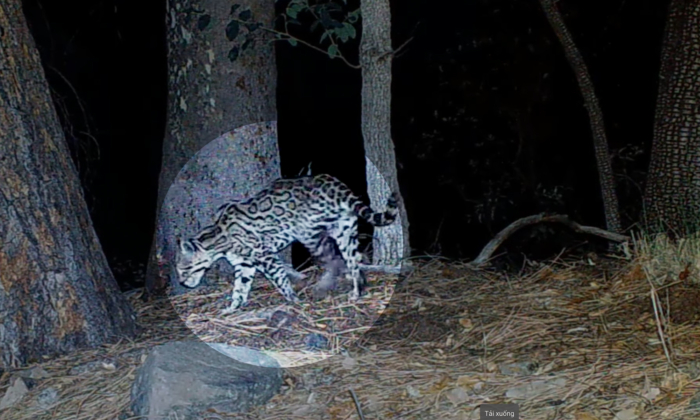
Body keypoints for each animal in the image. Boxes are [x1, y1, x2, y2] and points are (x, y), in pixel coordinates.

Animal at [176, 172, 400, 314]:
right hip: (345, 233)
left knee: (334, 261)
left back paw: (330, 284)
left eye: (184, 269)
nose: (182, 283)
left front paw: (293, 300)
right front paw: (233, 308)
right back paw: (358, 288)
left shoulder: (265, 256)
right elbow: (240, 288)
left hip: (309, 234)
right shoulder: (244, 264)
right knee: (354, 262)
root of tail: (335, 184)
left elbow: (280, 280)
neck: (218, 237)